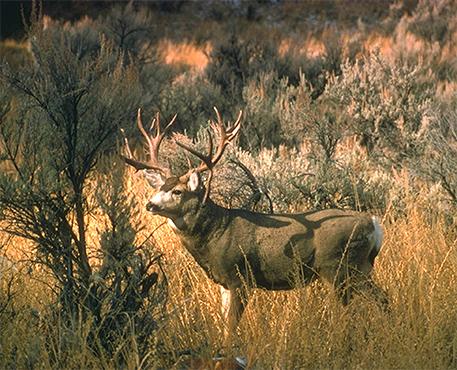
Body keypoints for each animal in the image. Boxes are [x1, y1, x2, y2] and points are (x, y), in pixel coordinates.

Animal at [120, 107, 384, 358]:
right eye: (159, 187)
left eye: (177, 191)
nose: (150, 204)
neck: (215, 235)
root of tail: (373, 224)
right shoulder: (223, 283)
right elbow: (224, 324)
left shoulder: (240, 277)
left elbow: (231, 326)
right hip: (358, 268)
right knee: (382, 299)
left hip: (340, 267)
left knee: (351, 311)